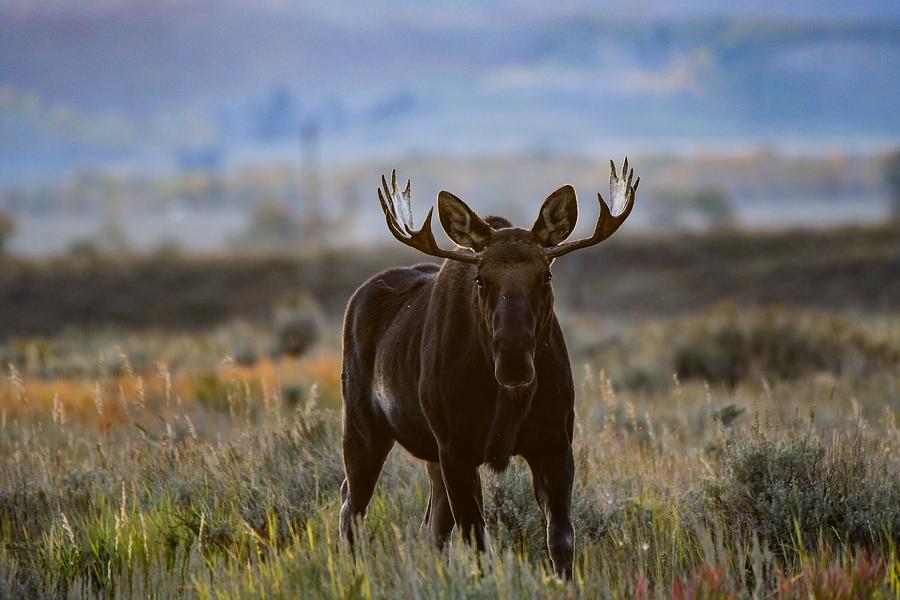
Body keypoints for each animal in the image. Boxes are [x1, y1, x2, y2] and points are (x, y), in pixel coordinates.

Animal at [340, 158, 640, 576]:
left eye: (546, 274)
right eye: (481, 278)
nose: (513, 360)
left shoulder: (555, 441)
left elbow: (561, 539)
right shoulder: (456, 447)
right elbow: (478, 541)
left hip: (427, 454)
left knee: (431, 525)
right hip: (363, 425)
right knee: (352, 506)